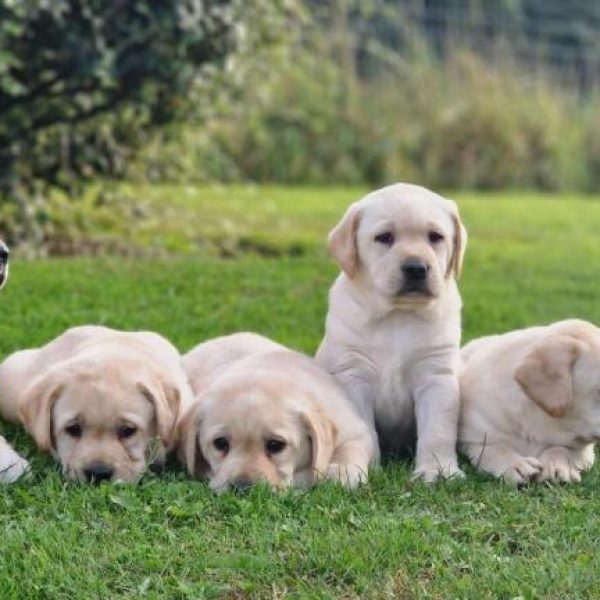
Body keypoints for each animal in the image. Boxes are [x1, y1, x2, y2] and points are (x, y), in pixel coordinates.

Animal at [178, 332, 376, 492]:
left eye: (275, 445)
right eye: (220, 443)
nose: (242, 487)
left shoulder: (354, 427)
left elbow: (352, 446)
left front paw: (343, 471)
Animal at [316, 183, 466, 482]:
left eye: (436, 237)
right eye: (384, 237)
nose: (416, 268)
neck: (398, 315)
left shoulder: (436, 376)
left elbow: (437, 430)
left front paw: (438, 469)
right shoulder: (353, 375)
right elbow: (363, 430)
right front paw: (360, 466)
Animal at [460, 322, 600, 486]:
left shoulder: (585, 451)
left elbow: (561, 449)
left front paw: (557, 466)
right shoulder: (473, 438)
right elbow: (495, 450)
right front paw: (515, 465)